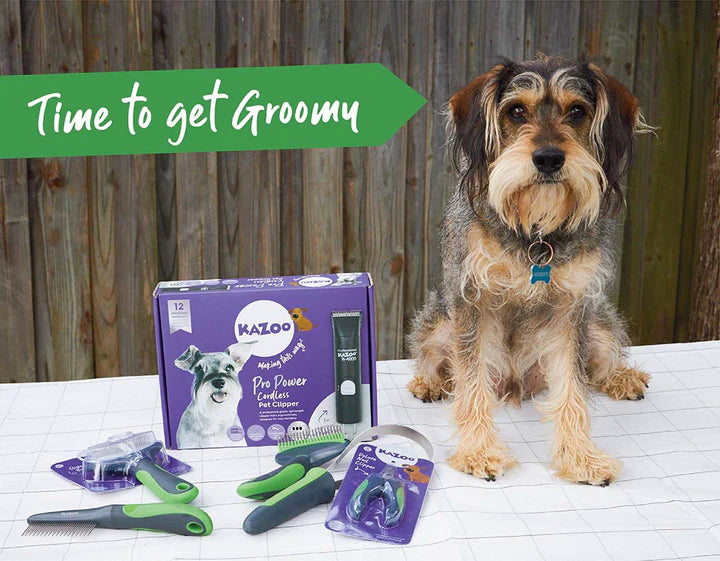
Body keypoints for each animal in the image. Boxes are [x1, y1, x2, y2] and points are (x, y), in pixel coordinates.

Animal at [407, 55, 652, 486]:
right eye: (516, 110)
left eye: (578, 111)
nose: (549, 158)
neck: (535, 232)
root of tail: (515, 386)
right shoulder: (471, 301)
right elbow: (471, 380)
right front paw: (479, 452)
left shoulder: (573, 309)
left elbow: (572, 387)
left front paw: (581, 457)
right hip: (437, 321)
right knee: (435, 358)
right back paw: (429, 382)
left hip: (601, 323)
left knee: (597, 365)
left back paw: (623, 377)